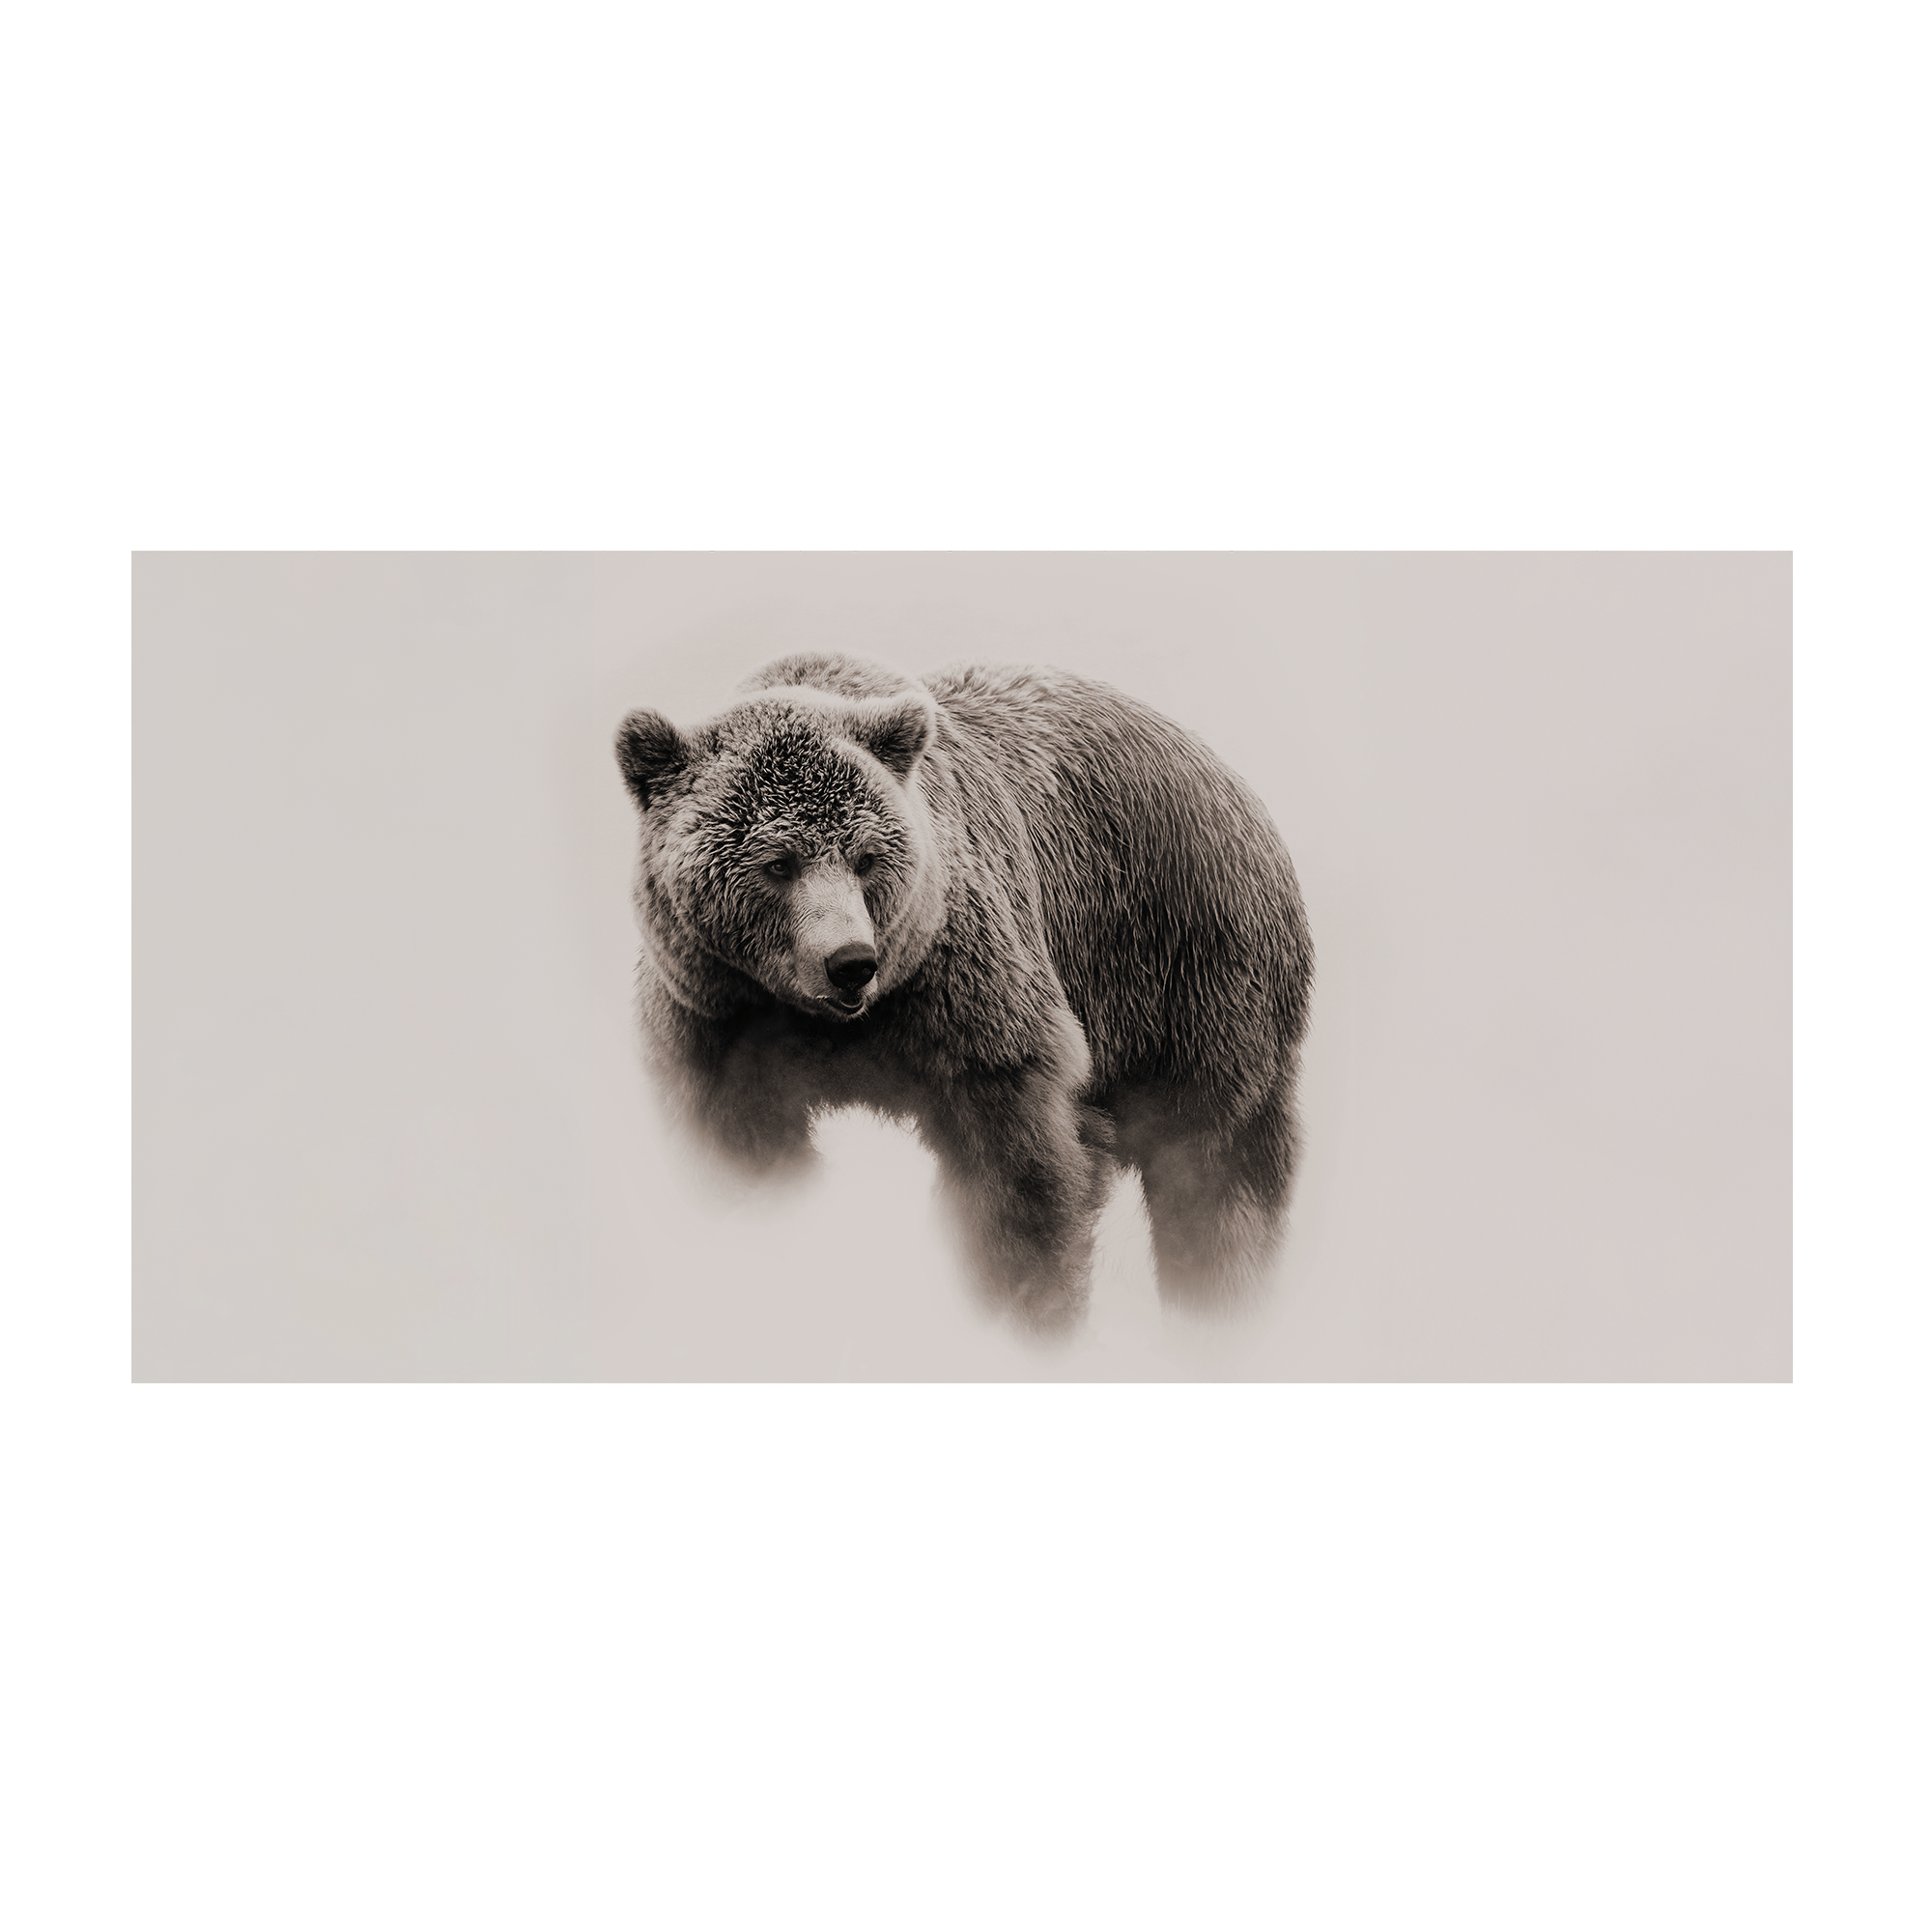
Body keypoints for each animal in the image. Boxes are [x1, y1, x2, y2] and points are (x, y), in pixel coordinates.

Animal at [615, 651, 1314, 1330]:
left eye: (867, 858)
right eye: (778, 863)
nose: (850, 963)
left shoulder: (969, 998)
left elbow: (1020, 1170)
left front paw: (1026, 1303)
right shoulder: (711, 1023)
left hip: (1191, 970)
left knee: (1215, 1172)